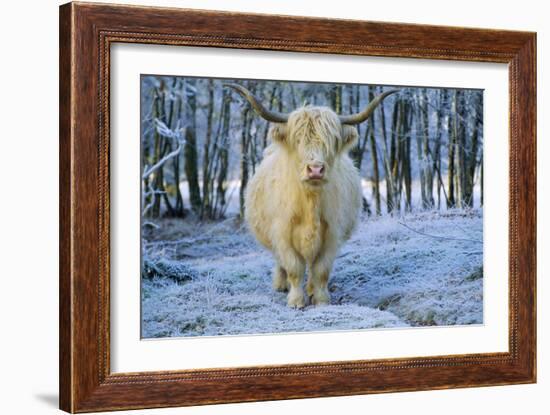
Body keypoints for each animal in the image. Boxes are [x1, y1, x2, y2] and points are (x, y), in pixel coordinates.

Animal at [226, 84, 398, 308]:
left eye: (331, 141)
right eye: (297, 140)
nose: (315, 169)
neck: (310, 203)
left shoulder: (332, 234)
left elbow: (321, 269)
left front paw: (321, 299)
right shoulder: (282, 233)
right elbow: (293, 267)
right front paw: (296, 301)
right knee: (281, 262)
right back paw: (280, 285)